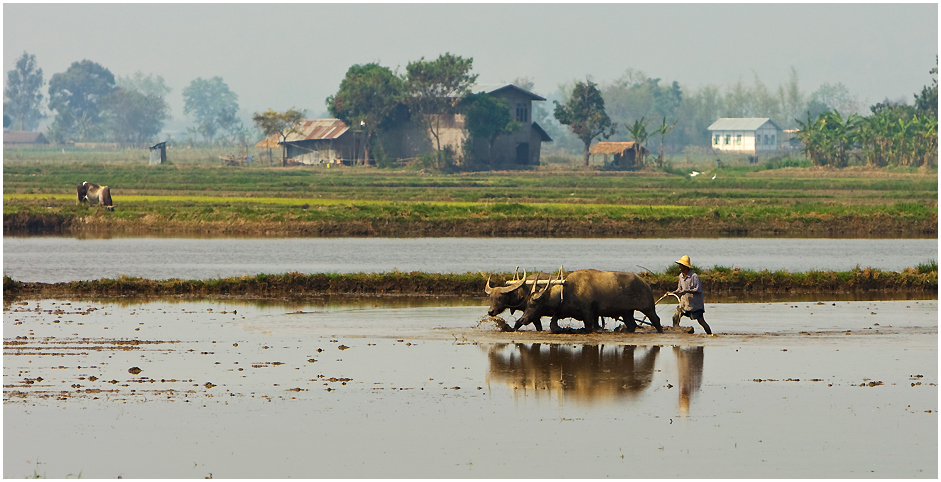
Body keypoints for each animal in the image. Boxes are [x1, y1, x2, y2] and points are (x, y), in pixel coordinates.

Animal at [516, 270, 660, 334]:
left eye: (533, 304)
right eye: (527, 303)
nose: (521, 320)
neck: (566, 292)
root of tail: (646, 284)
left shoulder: (588, 314)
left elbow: (589, 327)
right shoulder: (561, 312)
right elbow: (553, 325)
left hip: (648, 308)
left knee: (656, 320)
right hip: (627, 312)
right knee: (632, 325)